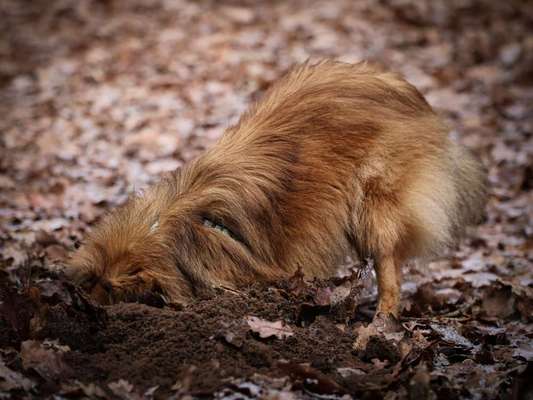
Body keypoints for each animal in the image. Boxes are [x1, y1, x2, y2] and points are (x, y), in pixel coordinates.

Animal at [66, 59, 486, 318]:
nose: (86, 306)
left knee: (389, 268)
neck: (169, 229)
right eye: (94, 282)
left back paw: (379, 323)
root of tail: (411, 94)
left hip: (374, 202)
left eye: (111, 289)